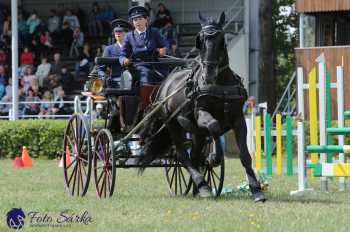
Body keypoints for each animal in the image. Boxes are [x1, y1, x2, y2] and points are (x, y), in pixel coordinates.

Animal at [137, 11, 266, 202]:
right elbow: (215, 127)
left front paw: (256, 190)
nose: (208, 74)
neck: (220, 84)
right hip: (173, 125)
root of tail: (164, 84)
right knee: (183, 155)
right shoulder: (202, 115)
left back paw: (198, 188)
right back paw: (202, 185)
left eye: (221, 39)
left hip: (195, 132)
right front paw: (214, 158)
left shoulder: (238, 119)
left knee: (195, 155)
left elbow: (245, 155)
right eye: (200, 39)